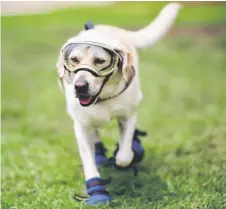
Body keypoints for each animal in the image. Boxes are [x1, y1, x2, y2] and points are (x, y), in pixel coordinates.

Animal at [56, 2, 182, 206]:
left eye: (99, 61)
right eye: (73, 60)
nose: (80, 86)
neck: (103, 98)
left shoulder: (127, 117)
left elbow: (123, 156)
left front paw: (124, 158)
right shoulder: (81, 127)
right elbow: (88, 161)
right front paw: (96, 189)